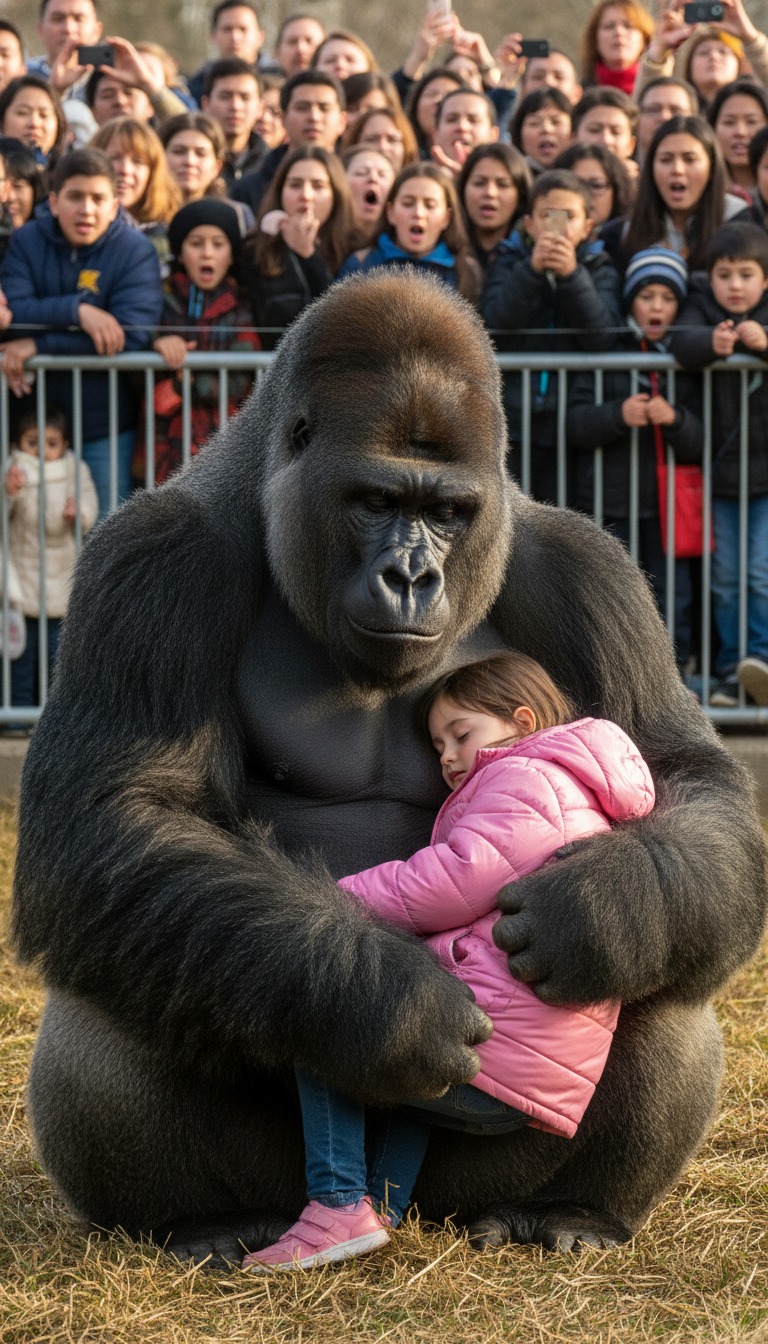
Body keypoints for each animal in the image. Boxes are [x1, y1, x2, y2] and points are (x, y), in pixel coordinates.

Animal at [12, 270, 767, 1267]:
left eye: (447, 512)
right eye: (375, 500)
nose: (412, 577)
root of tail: (395, 1202)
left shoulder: (590, 569)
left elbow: (684, 779)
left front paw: (604, 907)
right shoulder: (155, 561)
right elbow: (118, 813)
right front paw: (387, 1002)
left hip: (464, 1174)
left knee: (669, 977)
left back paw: (567, 1207)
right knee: (126, 955)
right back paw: (207, 1220)